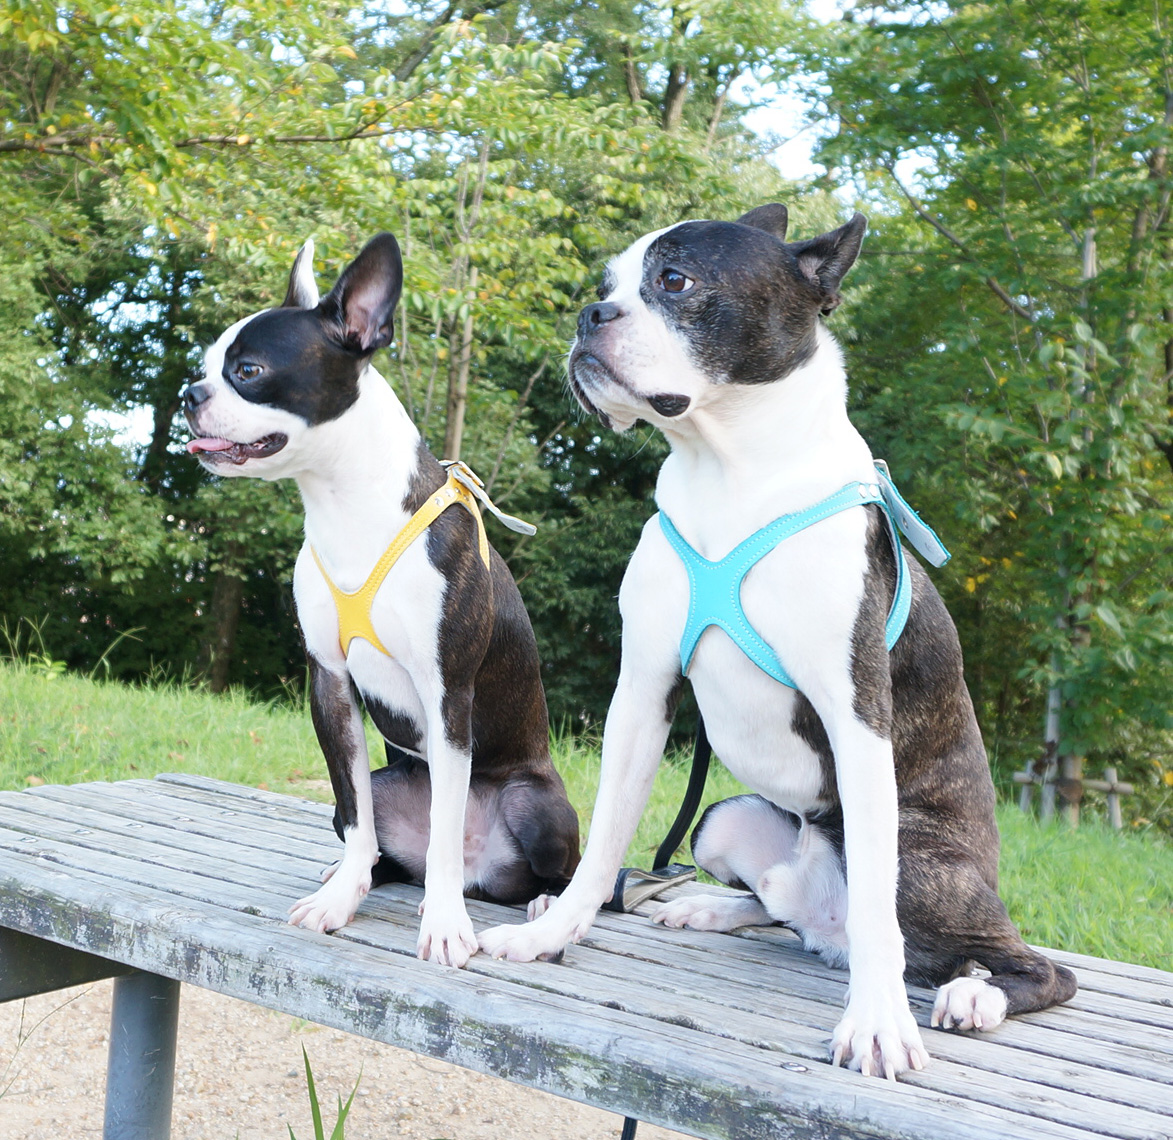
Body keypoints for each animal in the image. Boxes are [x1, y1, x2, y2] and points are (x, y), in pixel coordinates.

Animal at [184, 235, 581, 966]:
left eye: (248, 371)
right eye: (205, 366)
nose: (188, 393)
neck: (343, 501)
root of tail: (488, 871)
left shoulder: (448, 694)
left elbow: (445, 832)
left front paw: (445, 925)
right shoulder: (330, 684)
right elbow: (357, 816)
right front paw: (342, 897)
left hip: (535, 806)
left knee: (547, 869)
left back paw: (540, 905)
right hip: (396, 781)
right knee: (374, 834)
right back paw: (359, 873)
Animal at [480, 202, 1074, 1079]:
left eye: (674, 281)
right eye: (605, 283)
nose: (591, 315)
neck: (726, 470)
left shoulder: (856, 713)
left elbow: (879, 925)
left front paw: (876, 1024)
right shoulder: (643, 692)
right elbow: (603, 843)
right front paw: (552, 932)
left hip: (916, 864)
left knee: (1017, 961)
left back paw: (976, 995)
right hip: (722, 818)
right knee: (782, 910)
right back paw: (712, 907)